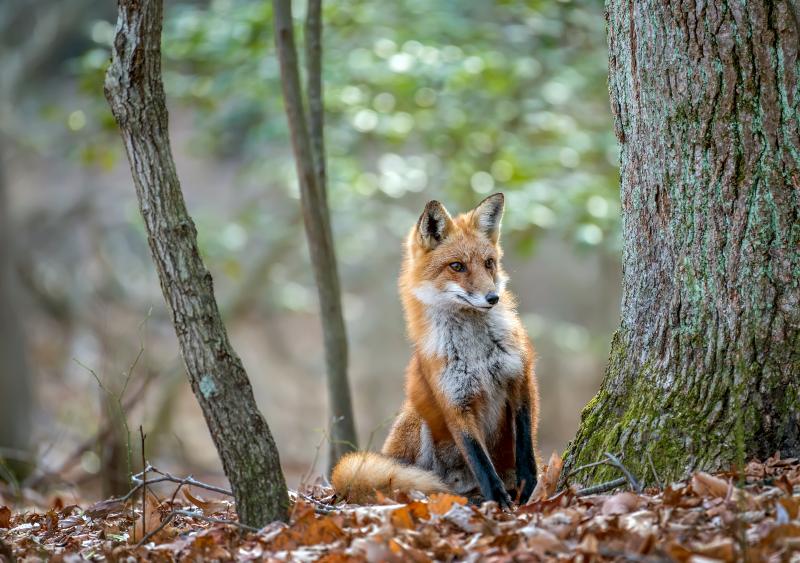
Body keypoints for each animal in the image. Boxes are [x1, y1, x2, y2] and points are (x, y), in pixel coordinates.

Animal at [332, 194, 536, 506]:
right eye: (457, 266)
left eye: (489, 263)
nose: (493, 298)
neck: (476, 351)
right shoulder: (454, 401)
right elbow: (479, 459)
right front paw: (499, 500)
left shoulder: (520, 379)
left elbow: (526, 443)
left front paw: (528, 484)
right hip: (420, 419)